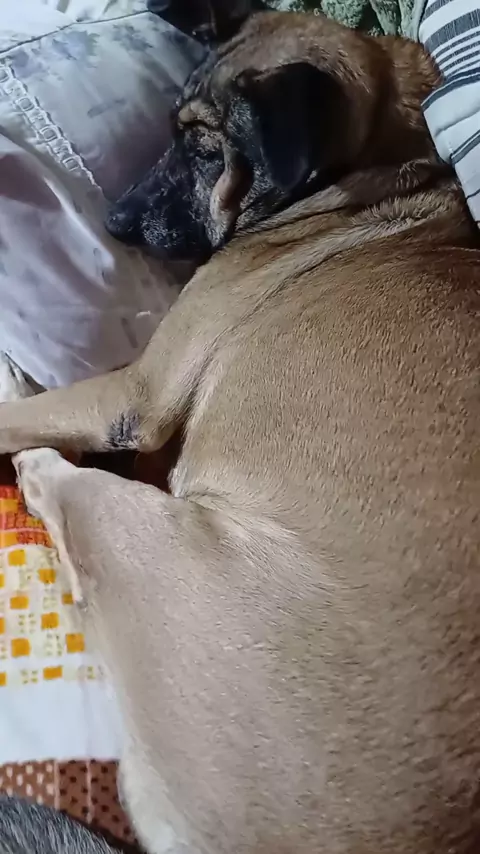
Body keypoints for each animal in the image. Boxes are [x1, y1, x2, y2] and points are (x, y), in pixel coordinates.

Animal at [1, 5, 479, 853]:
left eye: (203, 148)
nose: (116, 220)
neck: (383, 167)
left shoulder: (134, 395)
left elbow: (24, 417)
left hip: (137, 534)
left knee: (59, 480)